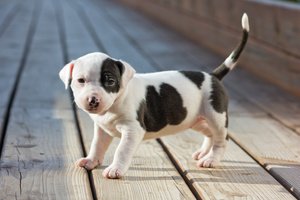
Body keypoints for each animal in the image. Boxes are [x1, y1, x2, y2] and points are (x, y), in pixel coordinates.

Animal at [58, 14, 248, 180]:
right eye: (80, 81)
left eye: (110, 81)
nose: (93, 100)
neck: (115, 104)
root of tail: (212, 76)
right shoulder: (102, 129)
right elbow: (97, 145)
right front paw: (91, 161)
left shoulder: (132, 130)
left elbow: (121, 151)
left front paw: (115, 170)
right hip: (196, 120)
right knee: (210, 134)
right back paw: (203, 153)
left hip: (216, 116)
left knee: (221, 138)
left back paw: (211, 159)